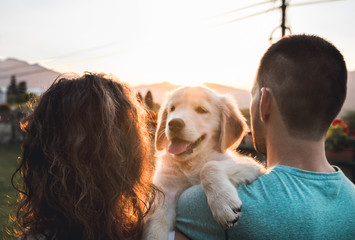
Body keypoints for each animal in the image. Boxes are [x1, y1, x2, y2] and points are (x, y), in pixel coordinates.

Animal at [143, 85, 266, 239]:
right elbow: (156, 227)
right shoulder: (165, 192)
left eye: (202, 110)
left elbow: (209, 167)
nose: (174, 124)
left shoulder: (254, 165)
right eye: (172, 109)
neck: (190, 163)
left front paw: (222, 203)